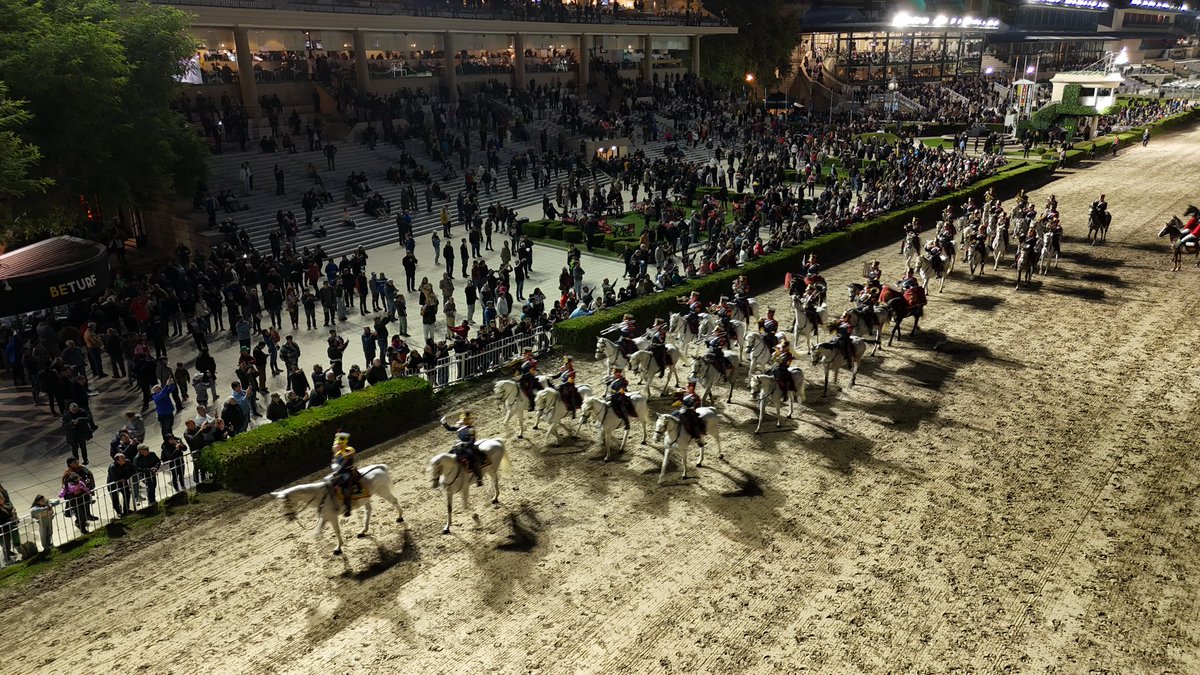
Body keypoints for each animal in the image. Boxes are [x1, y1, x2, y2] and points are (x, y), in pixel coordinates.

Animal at [271, 461, 403, 552]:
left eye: (287, 503)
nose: (289, 517)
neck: (320, 495)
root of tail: (380, 467)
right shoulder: (325, 517)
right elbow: (318, 533)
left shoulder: (332, 517)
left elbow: (337, 531)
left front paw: (338, 548)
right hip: (366, 499)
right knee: (368, 511)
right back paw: (362, 531)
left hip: (383, 491)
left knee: (394, 501)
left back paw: (400, 517)